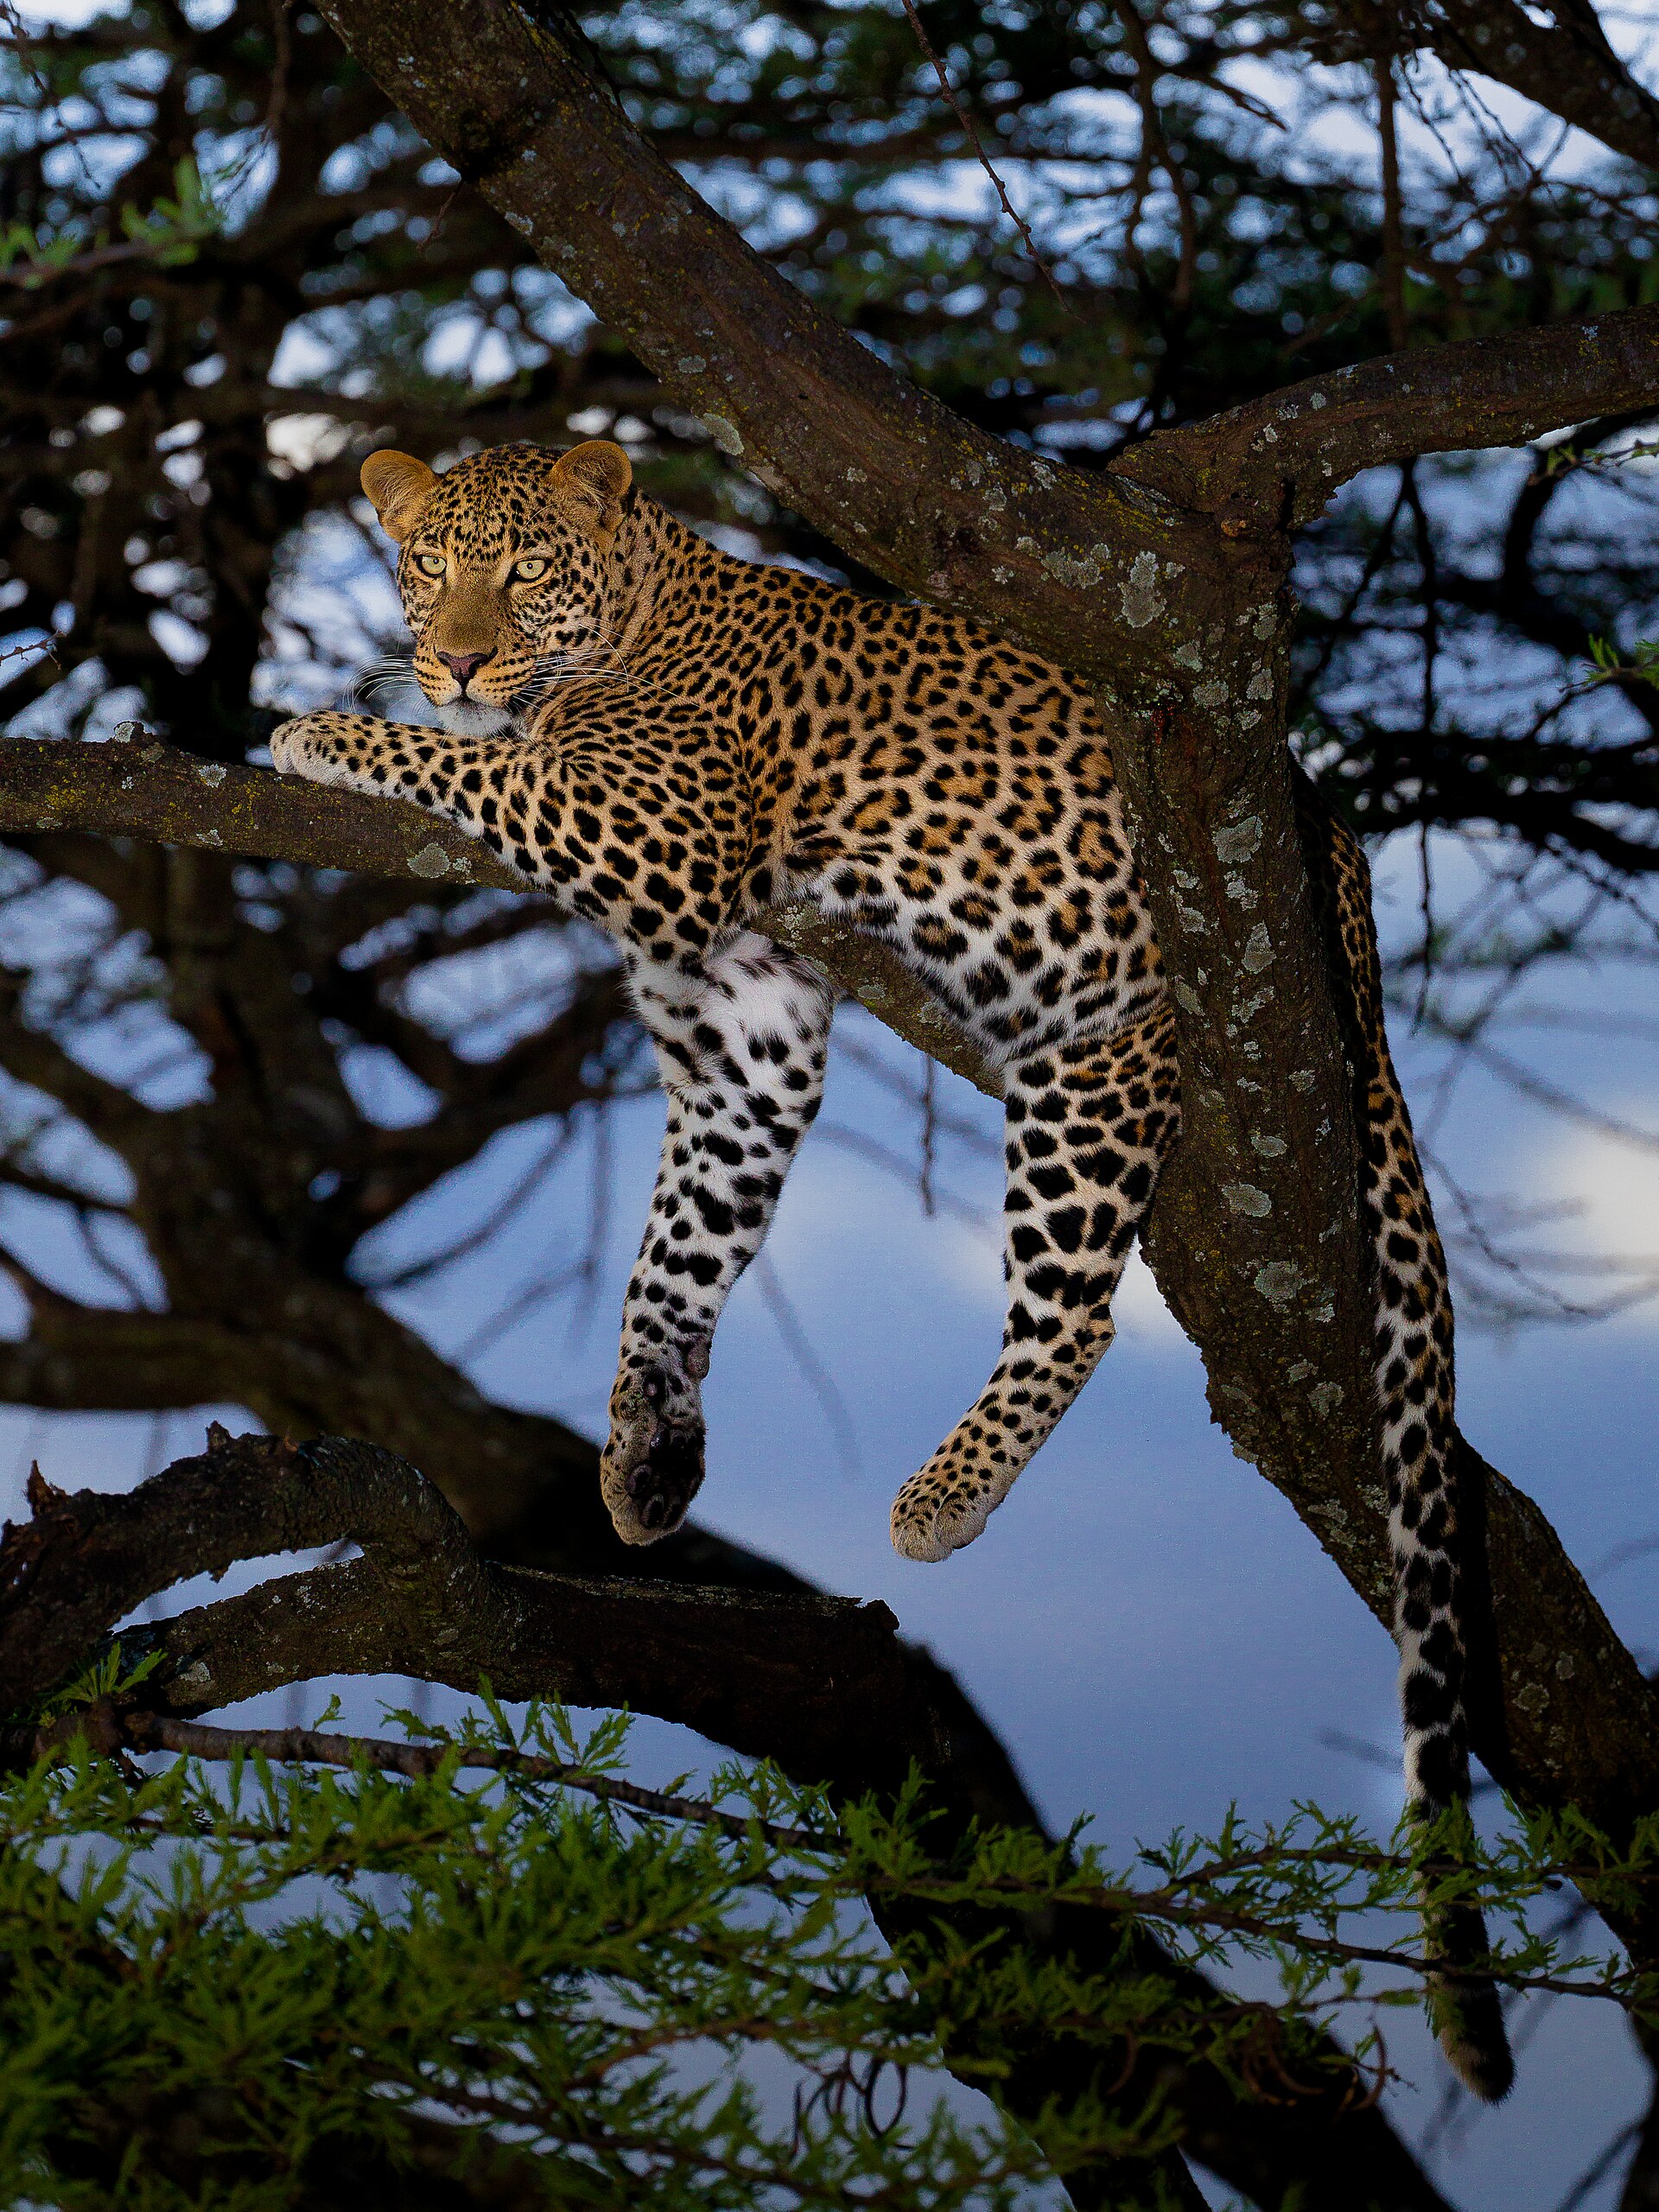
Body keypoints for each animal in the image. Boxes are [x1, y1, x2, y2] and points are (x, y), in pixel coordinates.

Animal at [270, 436, 1511, 2099]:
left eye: (524, 571)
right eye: (426, 565)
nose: (457, 656)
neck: (639, 604)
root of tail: (1357, 945)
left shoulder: (651, 826)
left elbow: (475, 768)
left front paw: (320, 728)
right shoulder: (746, 1029)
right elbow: (679, 1250)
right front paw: (643, 1449)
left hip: (1095, 1069)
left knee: (1077, 1312)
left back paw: (943, 1500)